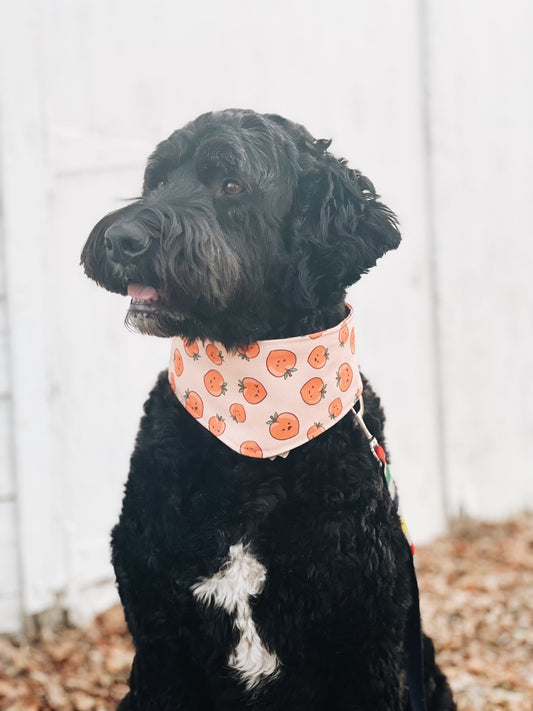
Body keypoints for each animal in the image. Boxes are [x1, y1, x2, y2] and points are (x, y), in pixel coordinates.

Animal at [81, 110, 456, 711]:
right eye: (156, 181)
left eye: (231, 184)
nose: (122, 238)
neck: (251, 441)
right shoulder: (160, 645)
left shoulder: (368, 646)